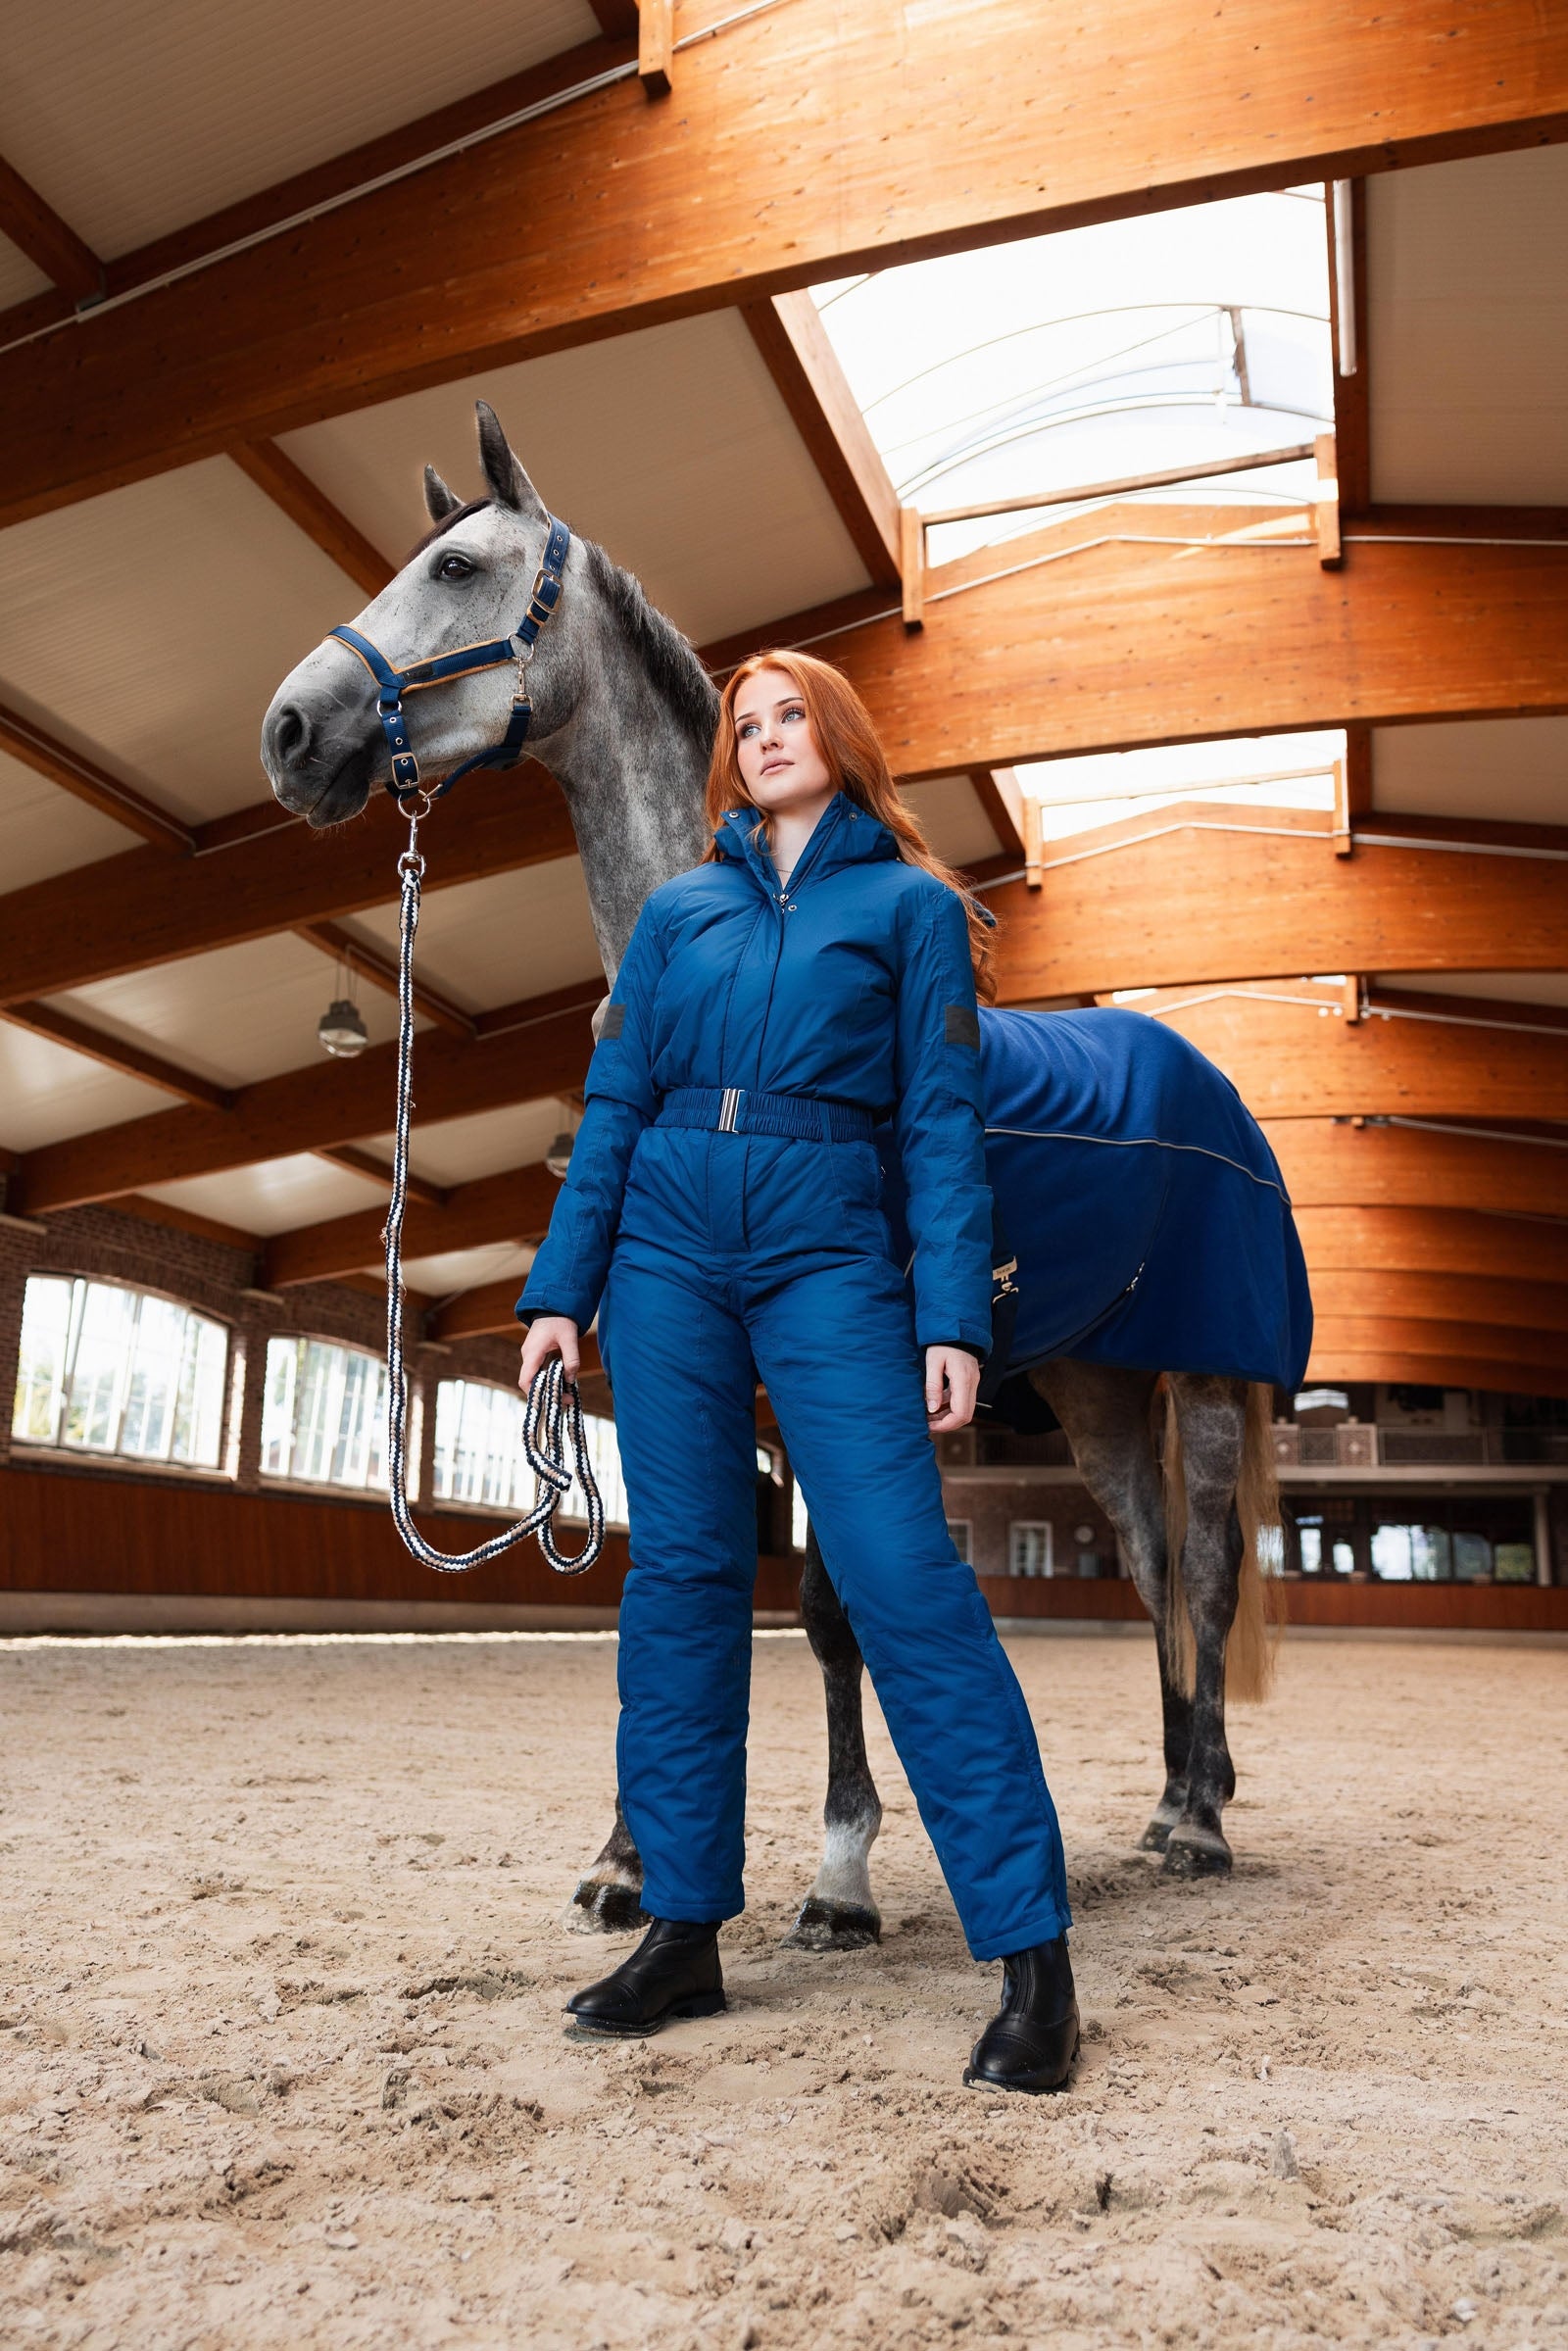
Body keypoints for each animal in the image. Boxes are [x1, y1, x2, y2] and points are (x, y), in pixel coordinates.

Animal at [261, 402, 1307, 1944]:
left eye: (454, 566)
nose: (288, 730)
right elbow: (678, 1576)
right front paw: (631, 1861)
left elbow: (830, 1603)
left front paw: (840, 1871)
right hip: (1097, 1389)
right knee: (1154, 1566)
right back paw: (1175, 1795)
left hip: (1208, 1375)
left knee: (1213, 1568)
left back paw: (1200, 1825)